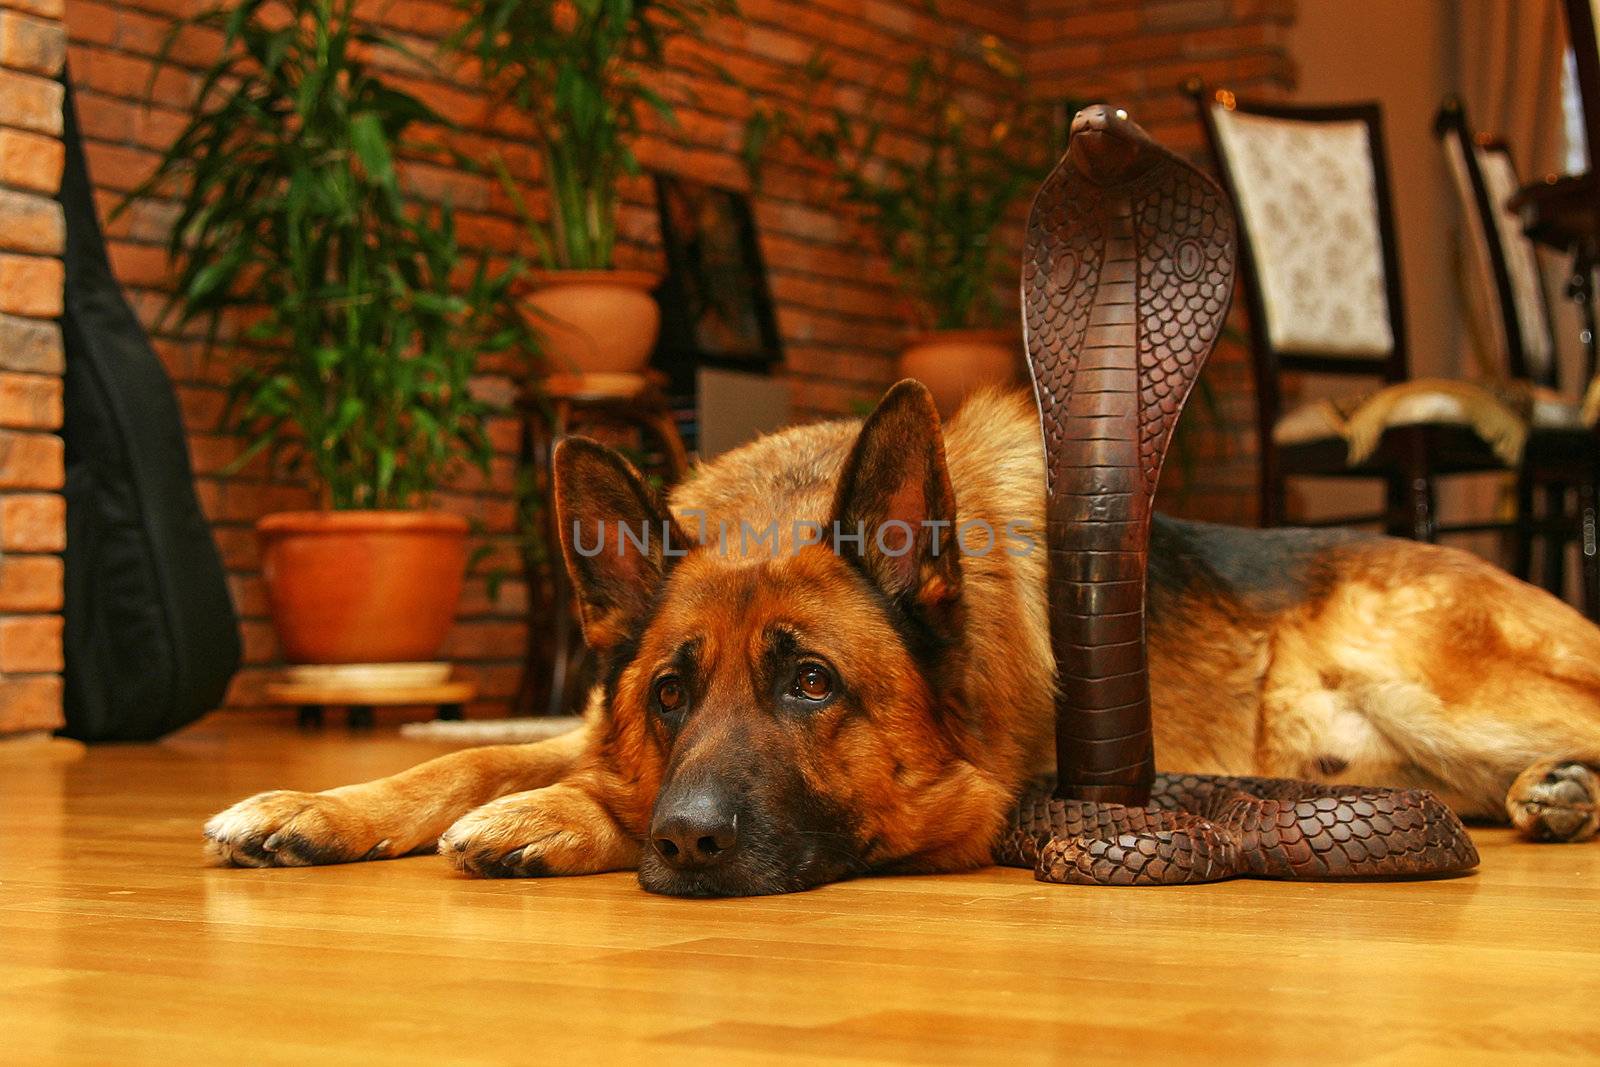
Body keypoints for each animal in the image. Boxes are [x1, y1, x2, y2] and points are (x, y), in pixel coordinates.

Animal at [206, 379, 1600, 895]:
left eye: (813, 683)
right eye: (668, 693)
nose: (685, 840)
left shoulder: (974, 809)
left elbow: (563, 789)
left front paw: (555, 817)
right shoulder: (597, 720)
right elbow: (465, 755)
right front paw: (310, 804)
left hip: (1439, 683)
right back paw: (1557, 792)